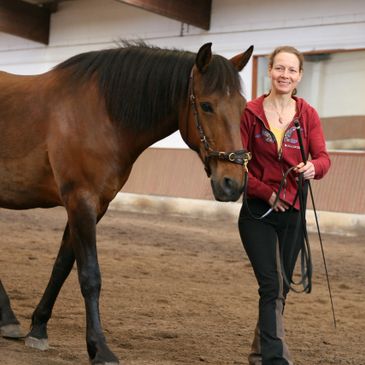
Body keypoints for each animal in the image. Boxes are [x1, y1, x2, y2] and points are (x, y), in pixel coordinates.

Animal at [0, 41, 252, 362]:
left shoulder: (93, 207)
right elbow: (90, 275)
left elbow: (62, 267)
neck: (102, 115)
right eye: (207, 105)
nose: (233, 183)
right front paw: (99, 347)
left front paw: (39, 327)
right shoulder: (80, 200)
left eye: (242, 107)